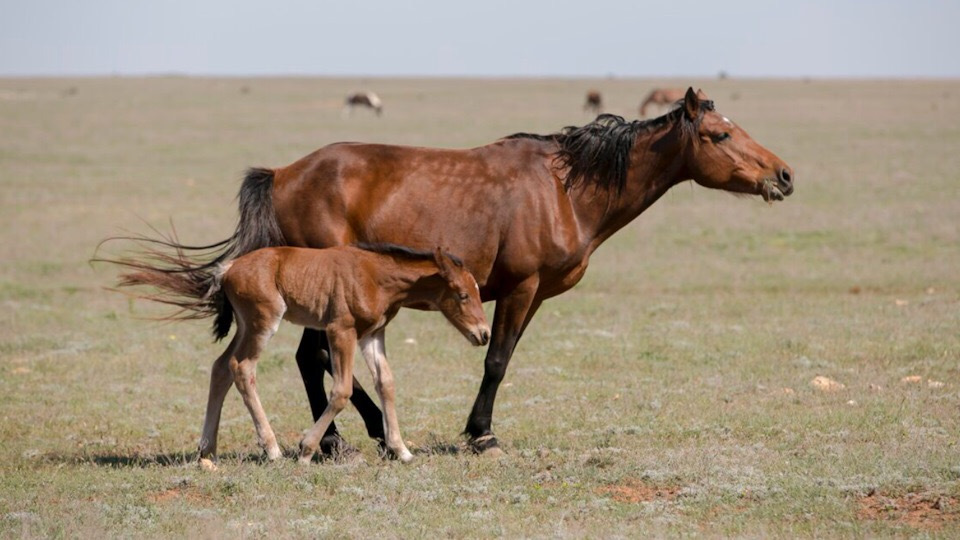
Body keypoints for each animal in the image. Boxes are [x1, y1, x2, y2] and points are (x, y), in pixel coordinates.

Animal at [180, 87, 796, 456]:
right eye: (721, 135)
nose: (785, 174)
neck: (566, 189)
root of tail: (283, 172)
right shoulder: (521, 288)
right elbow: (496, 361)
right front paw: (483, 435)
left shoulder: (534, 296)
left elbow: (505, 356)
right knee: (312, 359)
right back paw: (342, 439)